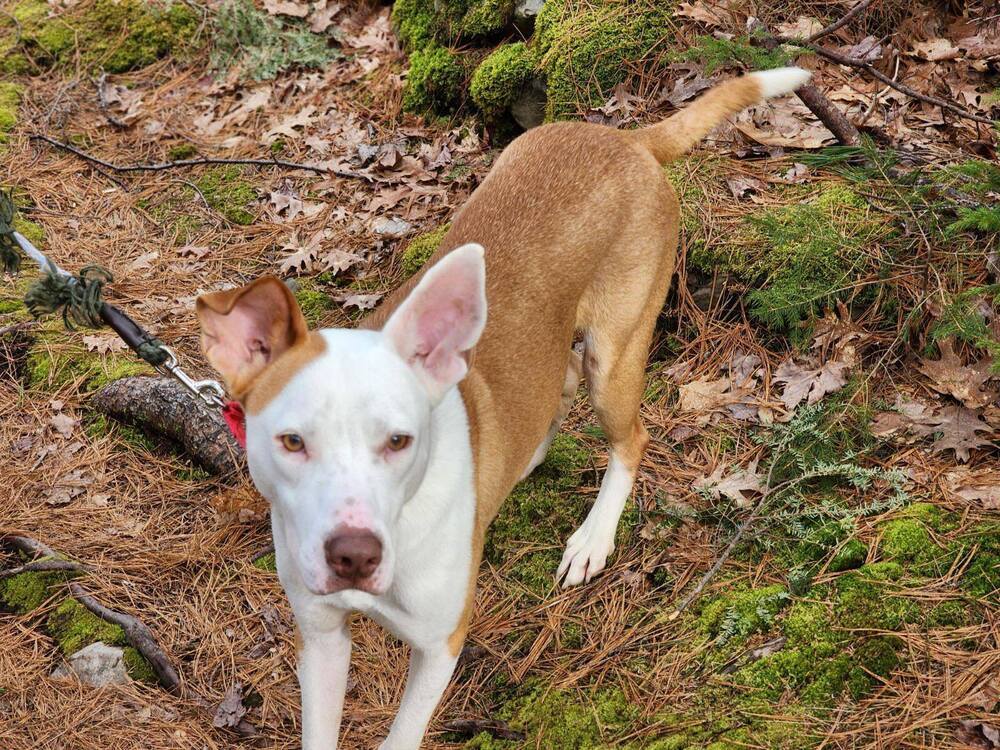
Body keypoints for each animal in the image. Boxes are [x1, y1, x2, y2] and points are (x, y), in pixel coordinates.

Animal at [195, 67, 812, 748]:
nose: (354, 555)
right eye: (293, 442)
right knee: (553, 383)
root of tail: (629, 140)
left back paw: (593, 537)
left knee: (631, 437)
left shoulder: (440, 646)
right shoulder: (322, 637)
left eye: (399, 441)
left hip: (615, 354)